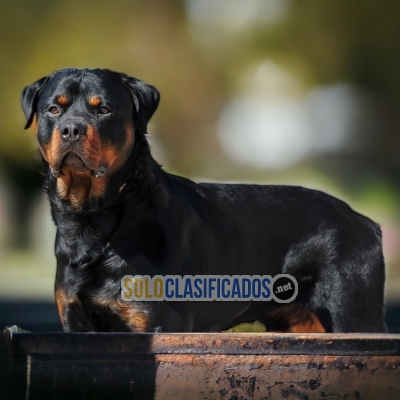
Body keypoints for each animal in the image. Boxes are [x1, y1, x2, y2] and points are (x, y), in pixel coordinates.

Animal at [21, 69, 384, 334]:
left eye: (104, 110)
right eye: (54, 109)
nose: (71, 128)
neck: (95, 222)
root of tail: (366, 222)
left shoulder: (159, 325)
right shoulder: (76, 322)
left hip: (351, 314)